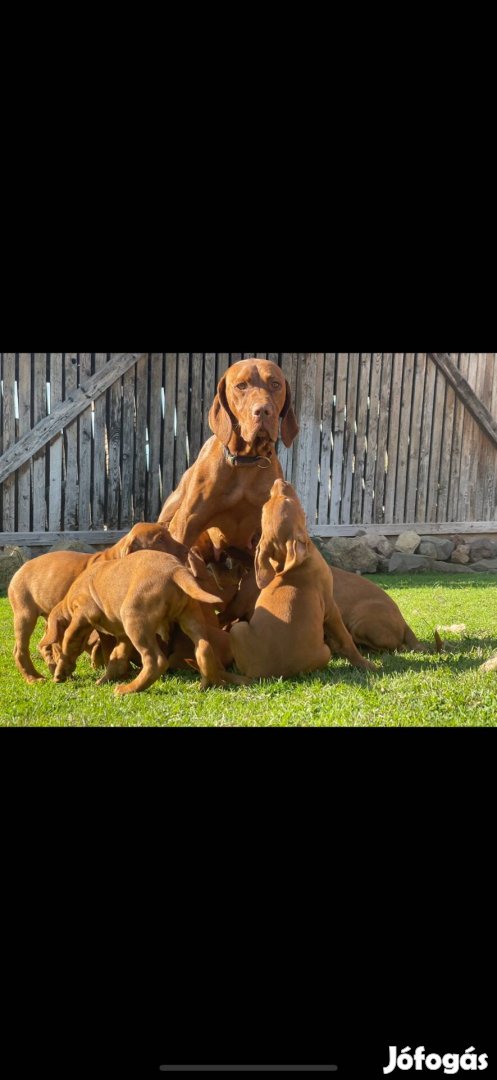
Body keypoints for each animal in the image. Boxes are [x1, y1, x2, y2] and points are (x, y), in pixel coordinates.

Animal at [7, 522, 190, 682]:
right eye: (160, 539)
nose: (187, 551)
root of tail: (21, 567)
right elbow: (108, 647)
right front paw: (121, 672)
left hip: (49, 617)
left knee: (47, 642)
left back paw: (54, 668)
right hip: (25, 613)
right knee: (20, 650)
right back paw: (33, 677)